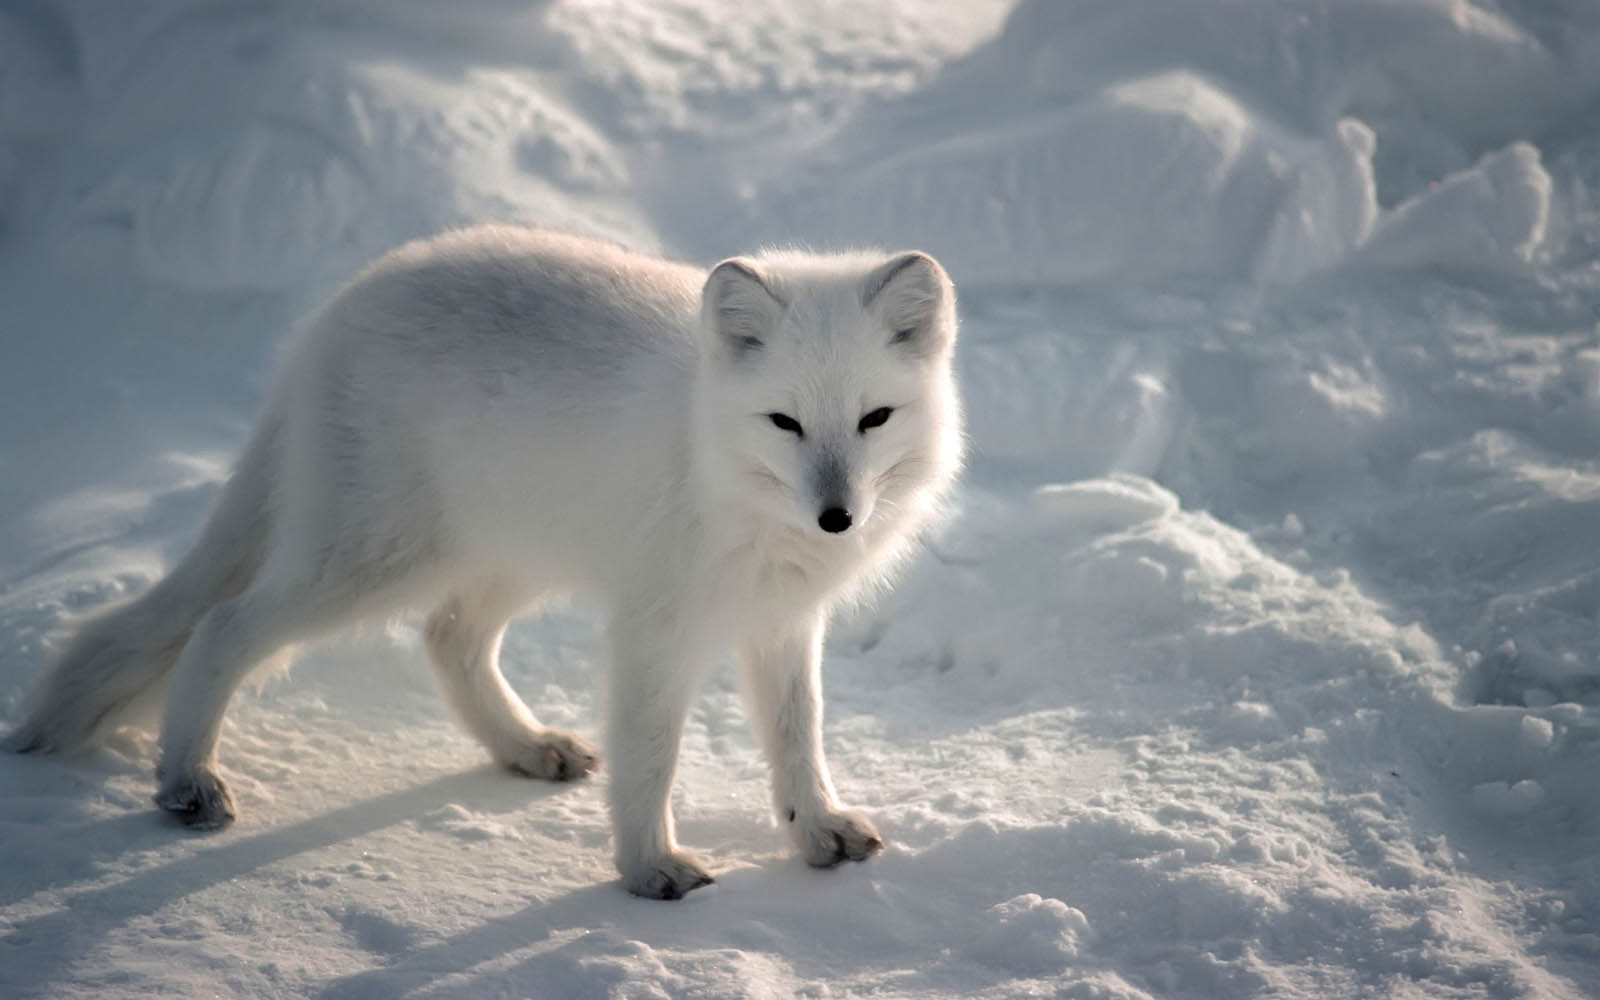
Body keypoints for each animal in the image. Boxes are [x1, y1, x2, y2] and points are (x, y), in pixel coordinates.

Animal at [4, 226, 963, 899]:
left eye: (874, 418)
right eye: (785, 423)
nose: (837, 519)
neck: (718, 466)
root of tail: (331, 317)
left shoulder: (780, 621)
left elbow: (799, 738)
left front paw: (817, 833)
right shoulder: (656, 628)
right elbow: (652, 755)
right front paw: (647, 868)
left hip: (503, 556)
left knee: (448, 639)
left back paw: (527, 747)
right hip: (368, 561)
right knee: (221, 624)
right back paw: (187, 780)